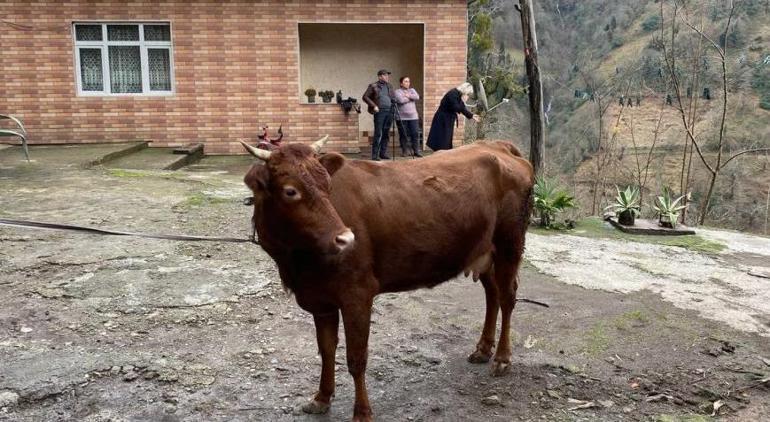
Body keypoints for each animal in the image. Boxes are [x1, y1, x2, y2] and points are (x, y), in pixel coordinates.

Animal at [243, 137, 532, 420]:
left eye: (327, 186)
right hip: (484, 251)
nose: (346, 239)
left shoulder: (357, 293)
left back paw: (502, 358)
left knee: (507, 297)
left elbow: (356, 358)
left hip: (510, 243)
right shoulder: (320, 298)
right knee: (492, 294)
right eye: (290, 191)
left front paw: (362, 413)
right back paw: (483, 349)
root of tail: (496, 145)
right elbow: (326, 350)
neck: (298, 265)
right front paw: (322, 398)